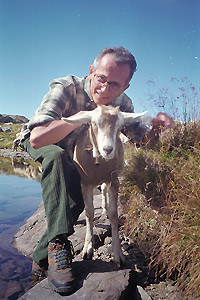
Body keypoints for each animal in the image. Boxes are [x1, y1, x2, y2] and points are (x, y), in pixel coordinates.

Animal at [62, 105, 147, 268]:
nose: (108, 149)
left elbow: (114, 213)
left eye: (120, 126)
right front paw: (88, 249)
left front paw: (118, 253)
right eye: (94, 123)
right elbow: (89, 212)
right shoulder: (85, 182)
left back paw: (105, 208)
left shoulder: (114, 180)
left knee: (104, 190)